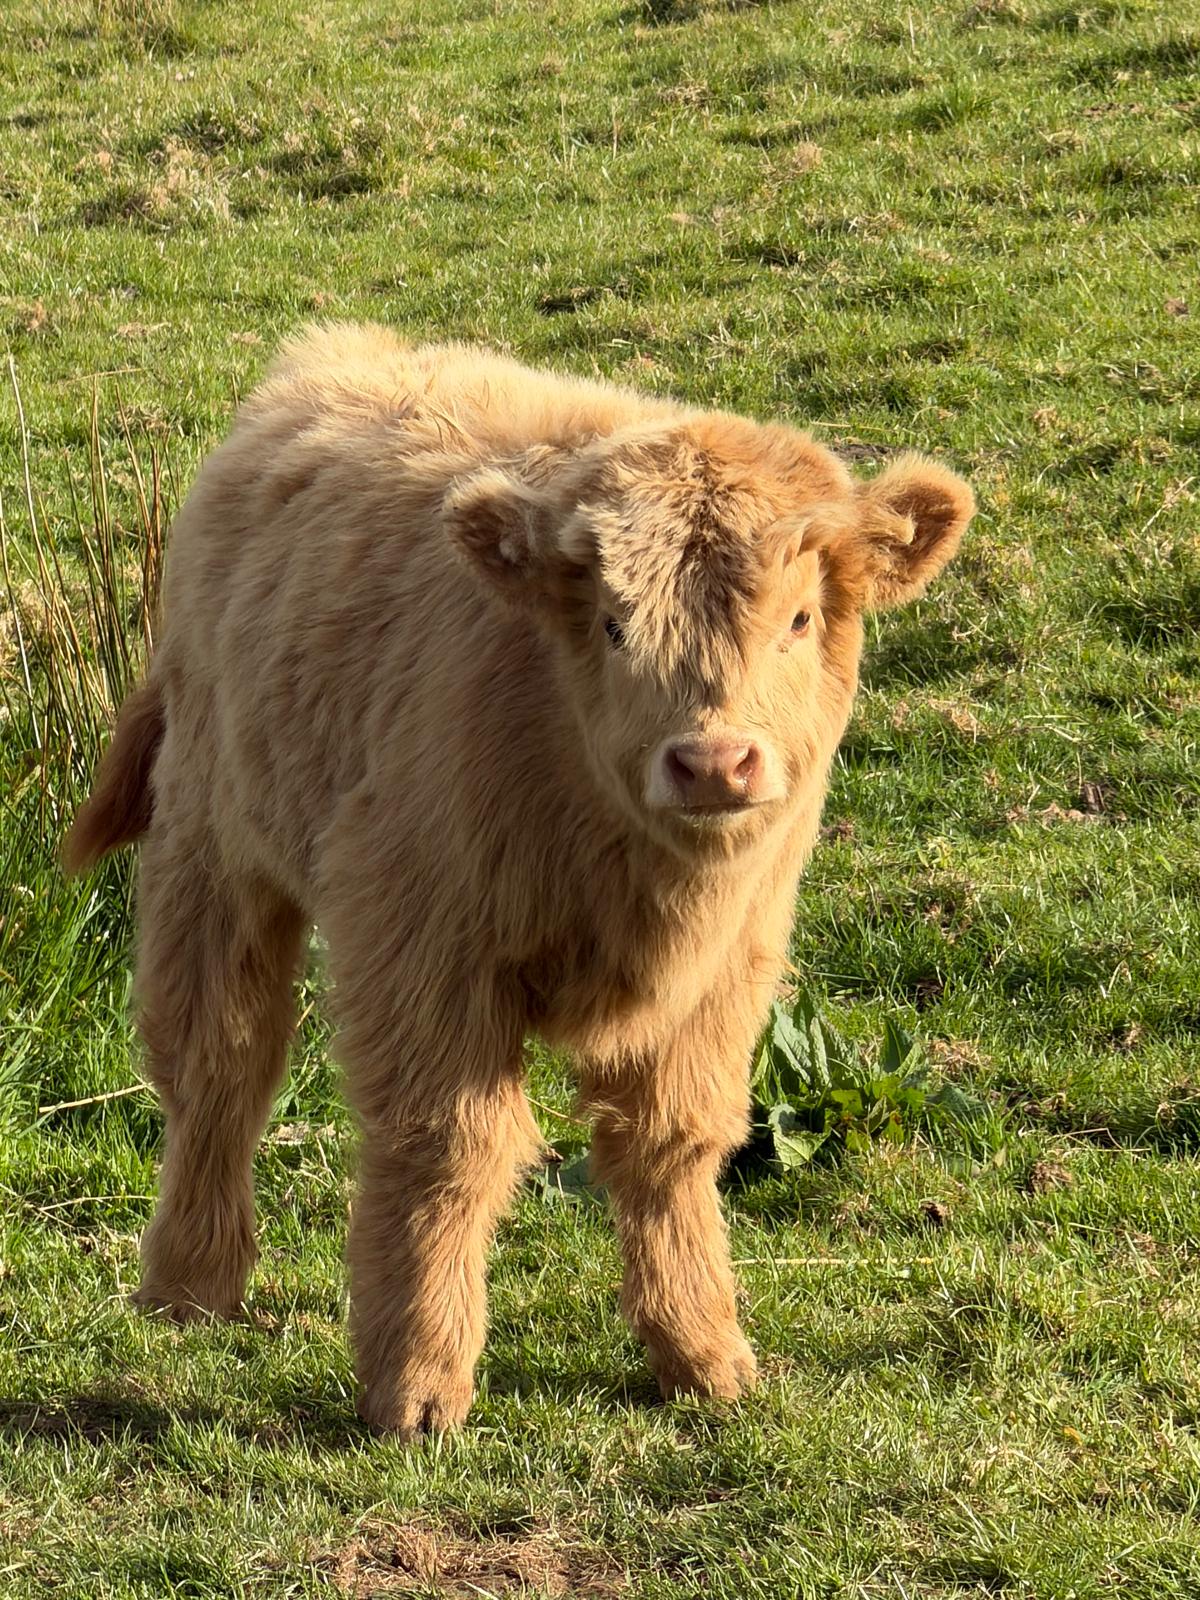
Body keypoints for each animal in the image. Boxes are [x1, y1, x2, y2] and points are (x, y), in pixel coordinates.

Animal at [64, 324, 974, 1438]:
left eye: (799, 620)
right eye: (615, 625)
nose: (713, 763)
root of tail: (337, 350)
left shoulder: (729, 968)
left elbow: (671, 1145)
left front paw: (703, 1356)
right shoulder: (421, 942)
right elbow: (447, 1150)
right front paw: (417, 1384)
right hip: (213, 849)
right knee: (218, 1064)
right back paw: (190, 1286)